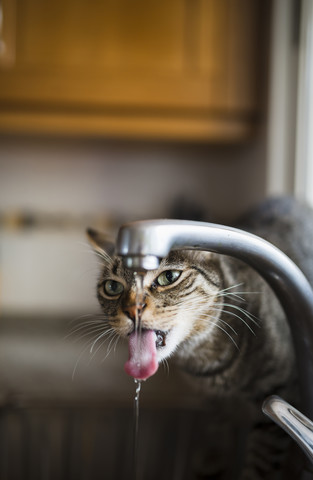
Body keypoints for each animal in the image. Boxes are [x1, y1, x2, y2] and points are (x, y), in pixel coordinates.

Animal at [85, 197, 312, 478]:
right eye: (112, 287)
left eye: (168, 277)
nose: (132, 309)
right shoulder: (214, 410)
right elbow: (214, 449)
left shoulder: (273, 409)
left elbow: (259, 466)